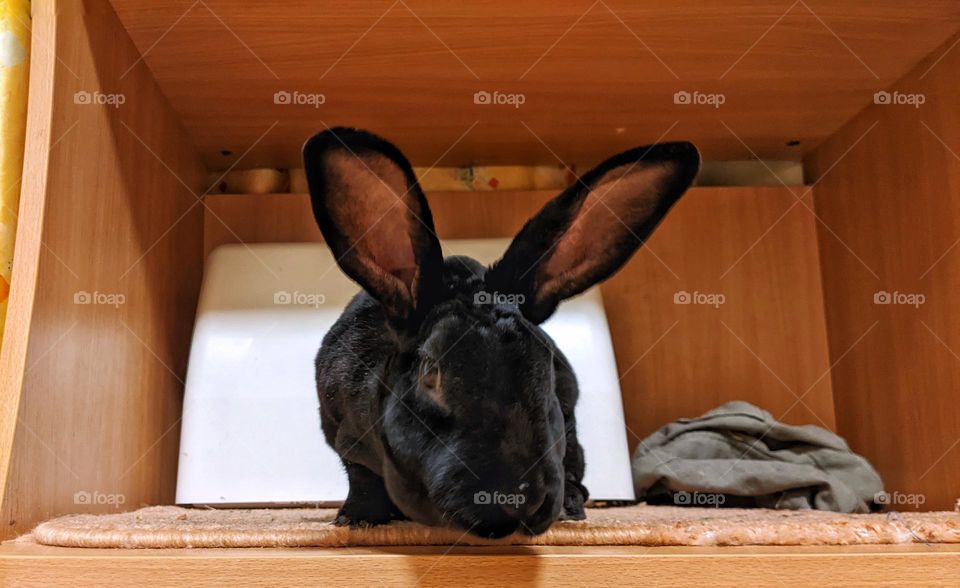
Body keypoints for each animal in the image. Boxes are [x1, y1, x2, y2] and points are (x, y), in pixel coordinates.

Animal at [304, 127, 700, 536]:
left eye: (546, 373)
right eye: (431, 374)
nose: (517, 501)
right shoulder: (343, 435)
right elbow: (361, 477)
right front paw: (357, 518)